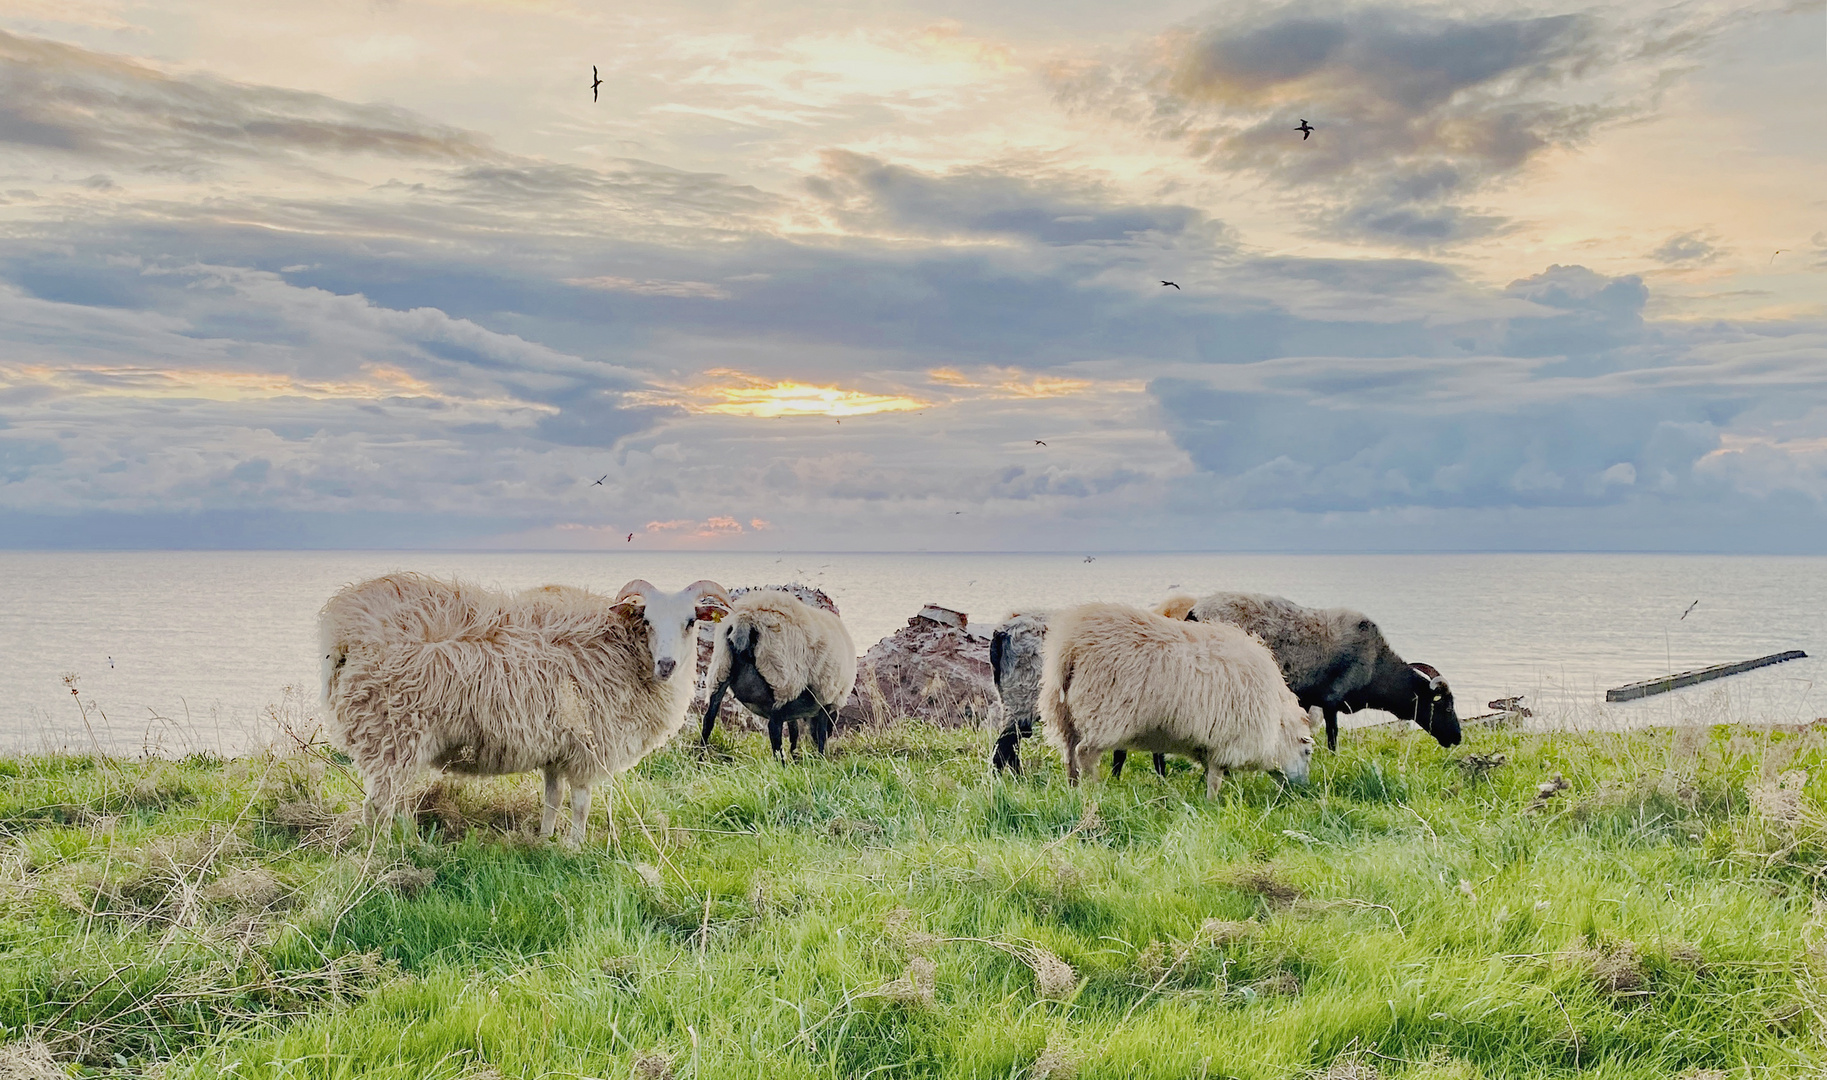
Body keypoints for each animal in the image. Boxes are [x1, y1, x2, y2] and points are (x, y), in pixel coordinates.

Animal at [321, 573, 727, 844]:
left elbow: (553, 799)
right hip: (392, 735)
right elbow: (581, 803)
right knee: (377, 807)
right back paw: (392, 851)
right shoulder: (587, 748)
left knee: (386, 804)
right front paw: (576, 847)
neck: (624, 654)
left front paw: (545, 840)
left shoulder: (558, 748)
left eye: (691, 621)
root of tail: (344, 634)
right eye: (647, 621)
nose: (667, 665)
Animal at [705, 592, 862, 760]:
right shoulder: (825, 698)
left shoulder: (796, 706)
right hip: (781, 680)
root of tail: (745, 620)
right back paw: (781, 762)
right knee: (774, 728)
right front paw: (820, 757)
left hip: (721, 668)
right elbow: (820, 732)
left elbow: (795, 731)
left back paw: (702, 757)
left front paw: (796, 756)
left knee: (709, 718)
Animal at [1045, 603, 1315, 800]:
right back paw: (1095, 788)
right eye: (1307, 751)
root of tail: (1071, 645)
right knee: (1085, 753)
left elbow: (1209, 772)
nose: (1304, 789)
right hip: (1104, 714)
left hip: (1063, 713)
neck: (1275, 721)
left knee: (1069, 754)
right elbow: (1215, 777)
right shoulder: (1226, 740)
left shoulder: (1209, 742)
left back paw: (1073, 788)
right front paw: (1212, 803)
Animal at [1161, 592, 1461, 752]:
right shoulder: (1331, 701)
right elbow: (1332, 738)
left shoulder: (1307, 700)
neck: (1378, 666)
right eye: (1446, 707)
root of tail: (1194, 612)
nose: (1457, 738)